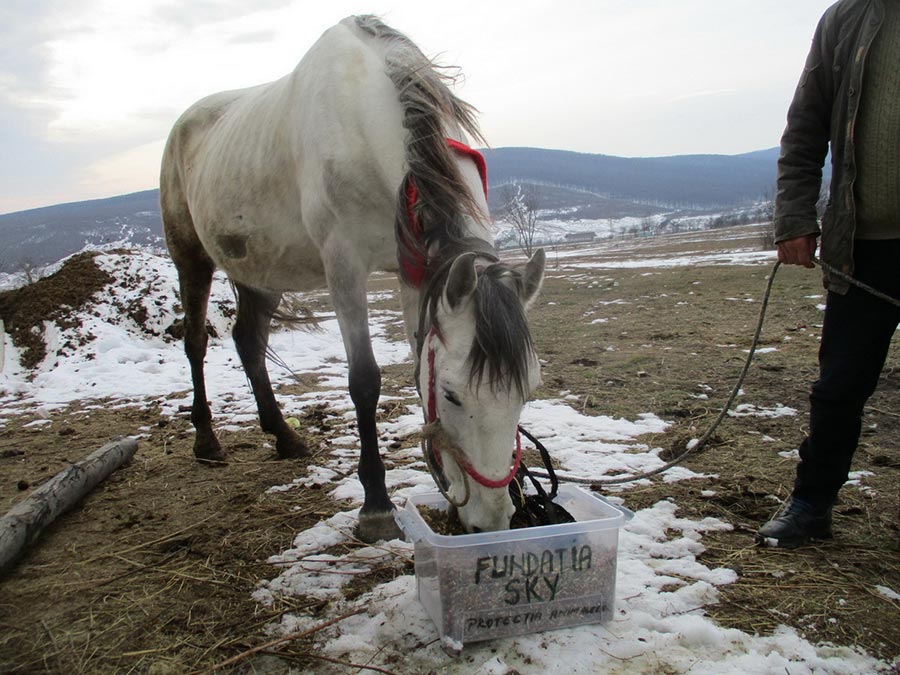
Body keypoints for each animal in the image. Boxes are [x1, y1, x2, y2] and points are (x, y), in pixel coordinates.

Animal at [159, 14, 544, 544]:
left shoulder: (415, 274)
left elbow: (416, 359)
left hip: (264, 272)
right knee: (196, 342)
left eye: (528, 391)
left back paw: (285, 437)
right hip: (191, 258)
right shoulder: (343, 267)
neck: (366, 118)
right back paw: (207, 441)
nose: (491, 520)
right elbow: (364, 380)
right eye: (451, 394)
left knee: (249, 342)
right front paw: (377, 507)